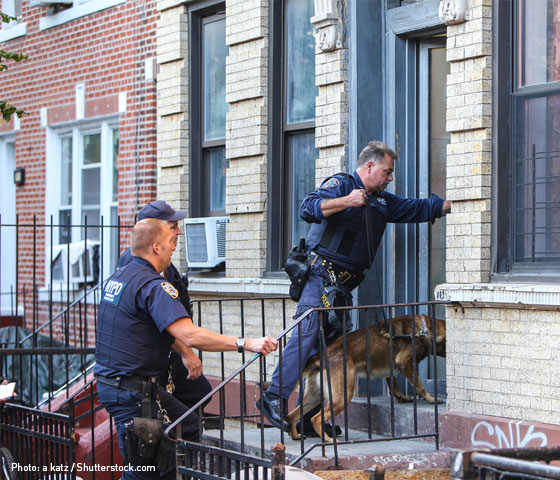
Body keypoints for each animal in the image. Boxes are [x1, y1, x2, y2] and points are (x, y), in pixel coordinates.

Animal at [288, 316, 446, 442]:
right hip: (342, 396)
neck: (425, 329)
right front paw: (431, 398)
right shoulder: (404, 362)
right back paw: (328, 439)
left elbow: (393, 384)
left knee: (292, 415)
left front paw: (401, 397)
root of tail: (319, 355)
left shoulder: (390, 367)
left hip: (314, 396)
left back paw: (295, 435)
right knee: (316, 418)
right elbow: (419, 384)